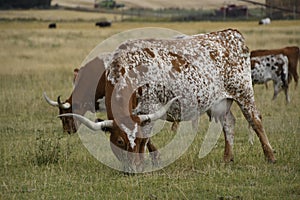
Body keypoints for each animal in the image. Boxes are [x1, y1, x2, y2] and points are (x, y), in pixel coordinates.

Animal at [61, 28, 276, 173]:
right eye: (120, 141)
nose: (133, 169)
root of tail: (230, 34)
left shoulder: (148, 108)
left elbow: (147, 138)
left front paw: (149, 161)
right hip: (218, 102)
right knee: (229, 123)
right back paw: (227, 158)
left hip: (243, 92)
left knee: (255, 120)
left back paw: (270, 155)